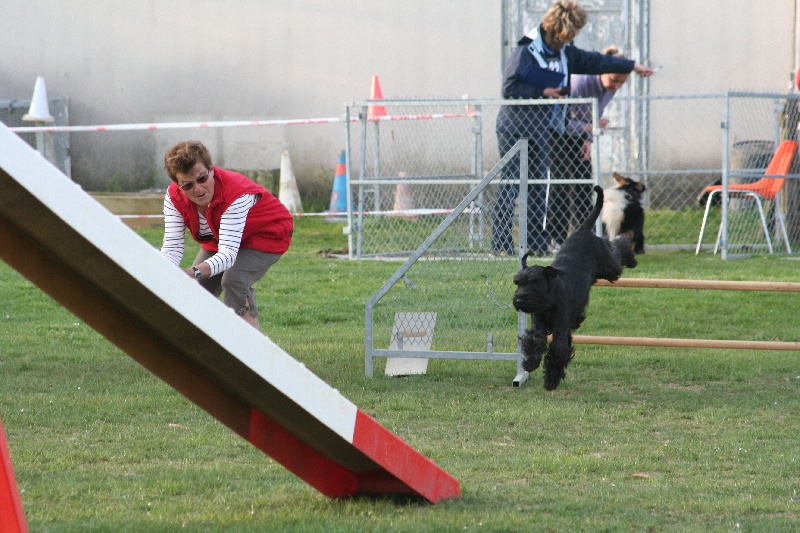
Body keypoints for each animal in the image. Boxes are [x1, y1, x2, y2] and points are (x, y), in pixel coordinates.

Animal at [512, 187, 636, 390]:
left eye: (535, 282)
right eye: (518, 282)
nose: (519, 299)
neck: (550, 299)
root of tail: (582, 230)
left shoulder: (561, 328)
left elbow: (558, 351)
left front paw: (551, 380)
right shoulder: (539, 325)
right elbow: (535, 341)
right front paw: (530, 363)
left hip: (610, 267)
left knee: (618, 248)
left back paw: (631, 257)